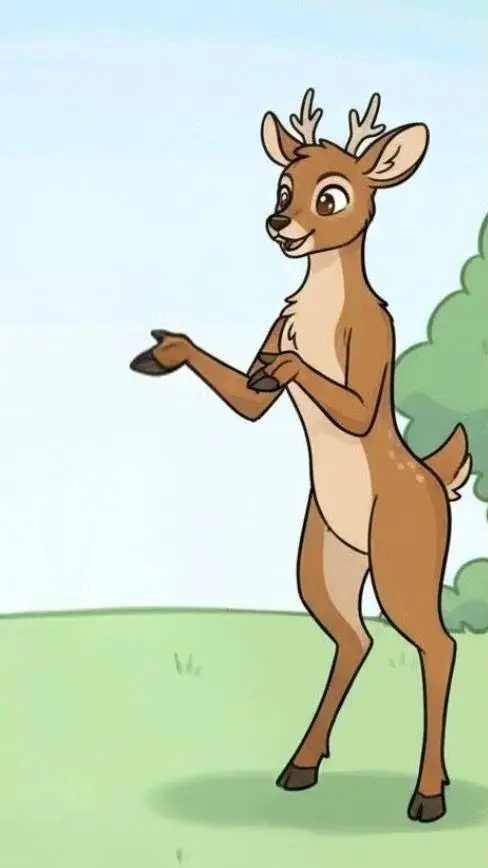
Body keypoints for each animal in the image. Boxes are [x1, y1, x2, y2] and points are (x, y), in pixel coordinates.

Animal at [130, 89, 472, 824]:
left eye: (333, 195)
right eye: (284, 186)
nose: (277, 222)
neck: (319, 307)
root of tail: (436, 477)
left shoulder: (373, 344)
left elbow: (340, 395)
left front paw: (286, 366)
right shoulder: (262, 359)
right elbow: (249, 396)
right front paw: (164, 351)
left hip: (402, 561)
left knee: (437, 644)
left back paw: (428, 794)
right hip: (326, 559)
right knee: (355, 638)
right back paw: (301, 765)